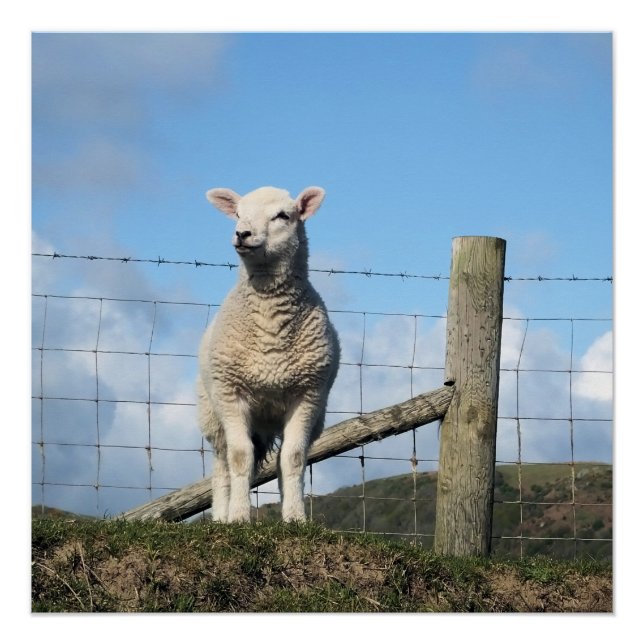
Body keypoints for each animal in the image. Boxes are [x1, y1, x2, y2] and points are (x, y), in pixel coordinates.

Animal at [197, 185, 340, 523]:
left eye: (282, 216)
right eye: (238, 213)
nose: (242, 233)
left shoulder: (308, 395)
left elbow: (294, 458)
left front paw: (296, 518)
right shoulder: (230, 393)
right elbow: (239, 457)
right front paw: (238, 517)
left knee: (279, 460)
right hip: (212, 413)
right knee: (222, 465)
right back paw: (221, 516)